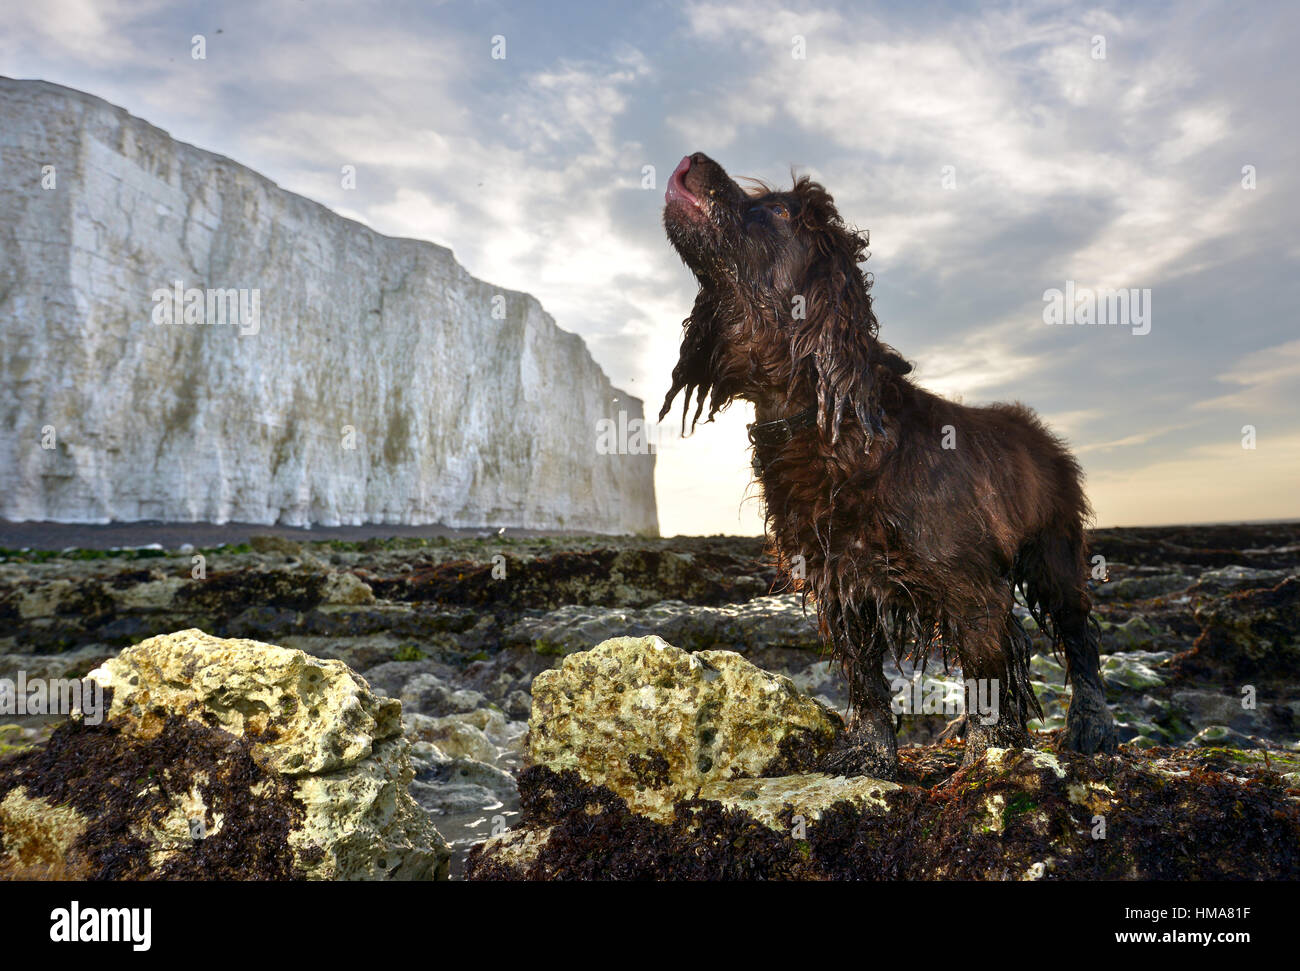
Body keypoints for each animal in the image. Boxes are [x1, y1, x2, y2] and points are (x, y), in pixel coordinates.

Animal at [660, 155, 1118, 779]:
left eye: (777, 210)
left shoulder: (972, 587)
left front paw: (985, 759)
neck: (823, 424)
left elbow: (986, 673)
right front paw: (869, 752)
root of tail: (1041, 432)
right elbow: (864, 676)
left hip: (1055, 552)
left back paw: (1092, 725)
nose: (692, 160)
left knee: (1080, 637)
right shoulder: (840, 580)